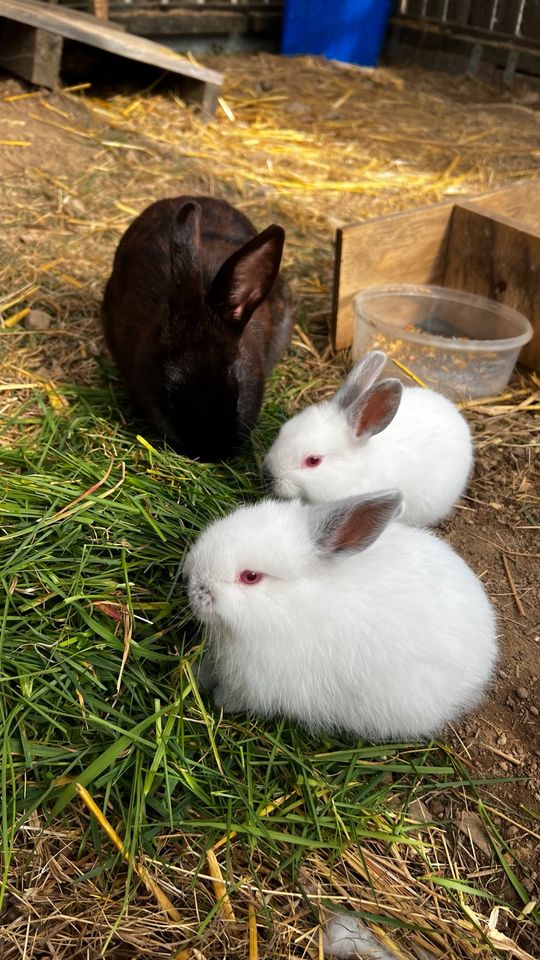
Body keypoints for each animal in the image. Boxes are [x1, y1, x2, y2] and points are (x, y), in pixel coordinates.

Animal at [185, 492, 498, 740]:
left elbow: (236, 697)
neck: (292, 607)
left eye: (250, 576)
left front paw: (219, 702)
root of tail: (488, 648)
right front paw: (198, 677)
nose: (193, 582)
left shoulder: (257, 684)